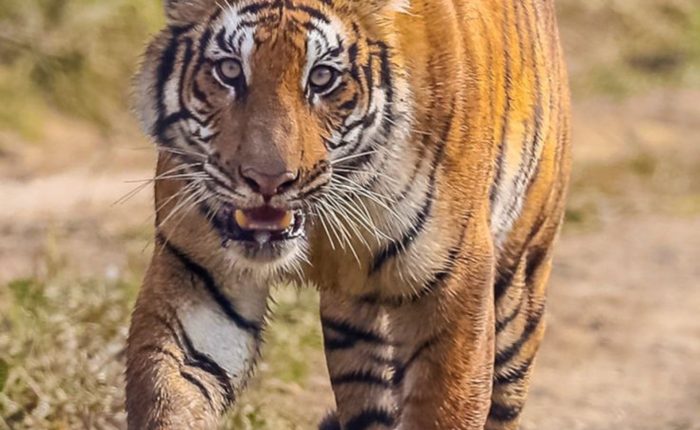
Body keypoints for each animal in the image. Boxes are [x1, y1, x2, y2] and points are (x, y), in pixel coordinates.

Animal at [125, 0, 571, 429]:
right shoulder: (200, 273)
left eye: (322, 78)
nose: (268, 181)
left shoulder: (455, 282)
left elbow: (448, 406)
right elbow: (171, 390)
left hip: (519, 289)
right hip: (355, 331)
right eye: (230, 70)